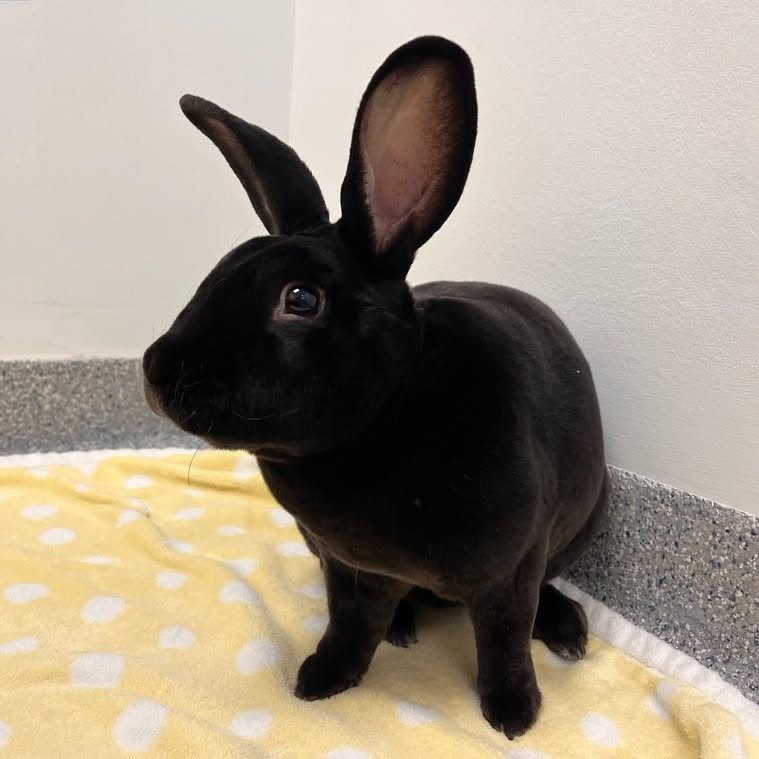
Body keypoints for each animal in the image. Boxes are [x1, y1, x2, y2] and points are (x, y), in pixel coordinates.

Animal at [143, 35, 607, 739]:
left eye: (300, 300)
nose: (154, 369)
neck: (385, 416)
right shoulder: (350, 569)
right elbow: (351, 628)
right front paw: (320, 681)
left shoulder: (512, 569)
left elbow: (502, 639)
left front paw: (513, 714)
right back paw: (406, 627)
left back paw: (566, 632)